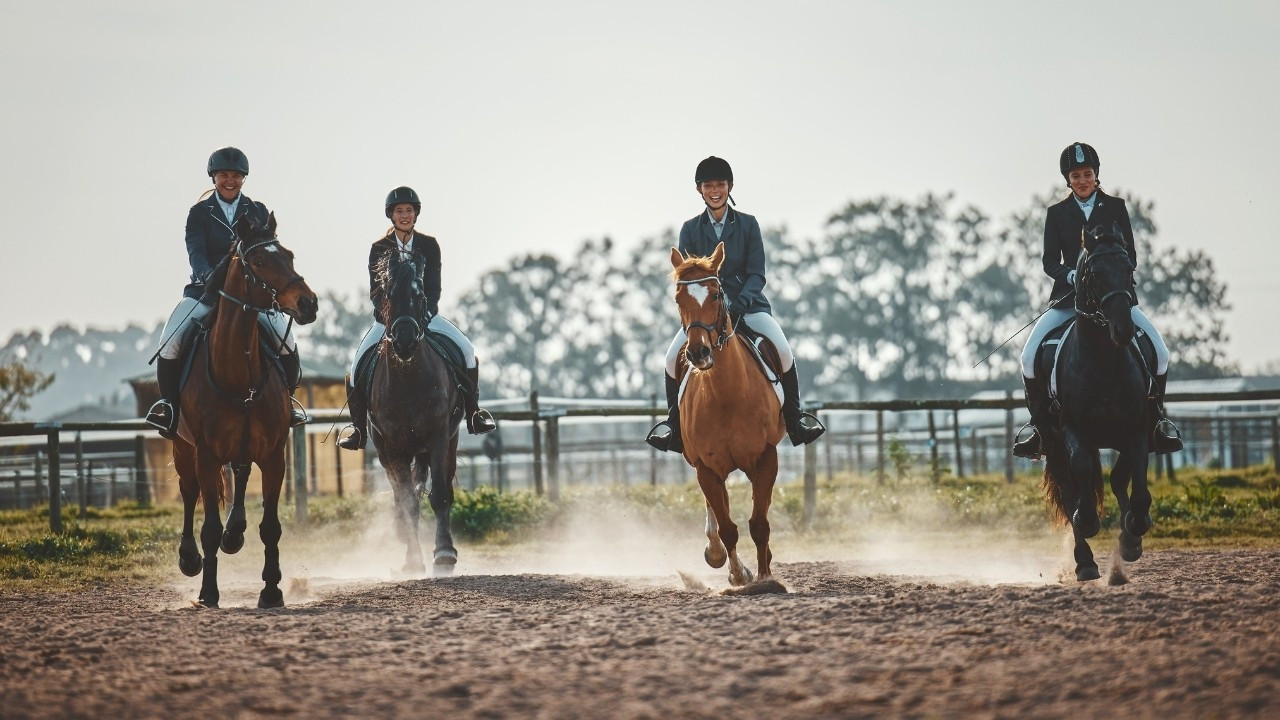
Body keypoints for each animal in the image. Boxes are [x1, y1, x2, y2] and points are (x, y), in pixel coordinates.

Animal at [171, 212, 316, 604]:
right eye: (260, 262)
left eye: (290, 255)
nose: (308, 303)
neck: (238, 375)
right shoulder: (206, 456)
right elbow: (208, 526)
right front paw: (208, 591)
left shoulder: (274, 455)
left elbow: (271, 527)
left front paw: (271, 589)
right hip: (182, 446)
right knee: (188, 491)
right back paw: (189, 558)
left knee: (240, 473)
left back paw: (235, 533)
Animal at [368, 245, 463, 571]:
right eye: (388, 295)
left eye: (420, 296)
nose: (406, 341)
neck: (408, 379)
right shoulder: (395, 448)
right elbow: (408, 502)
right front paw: (412, 560)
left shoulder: (438, 438)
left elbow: (440, 496)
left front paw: (444, 553)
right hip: (386, 451)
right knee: (401, 494)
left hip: (446, 442)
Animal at [670, 243, 788, 586]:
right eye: (678, 299)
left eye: (715, 294)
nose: (698, 353)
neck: (726, 395)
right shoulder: (706, 468)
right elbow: (727, 528)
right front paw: (738, 574)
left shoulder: (766, 458)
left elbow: (759, 523)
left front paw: (765, 577)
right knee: (716, 511)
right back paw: (715, 553)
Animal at [1034, 221, 1157, 579]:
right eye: (1095, 274)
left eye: (1128, 269)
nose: (1123, 330)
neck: (1102, 359)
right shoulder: (1072, 431)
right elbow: (1081, 477)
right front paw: (1088, 522)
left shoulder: (1137, 431)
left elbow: (1134, 486)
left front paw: (1133, 534)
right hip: (1054, 442)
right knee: (1072, 489)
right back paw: (1085, 562)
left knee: (1112, 481)